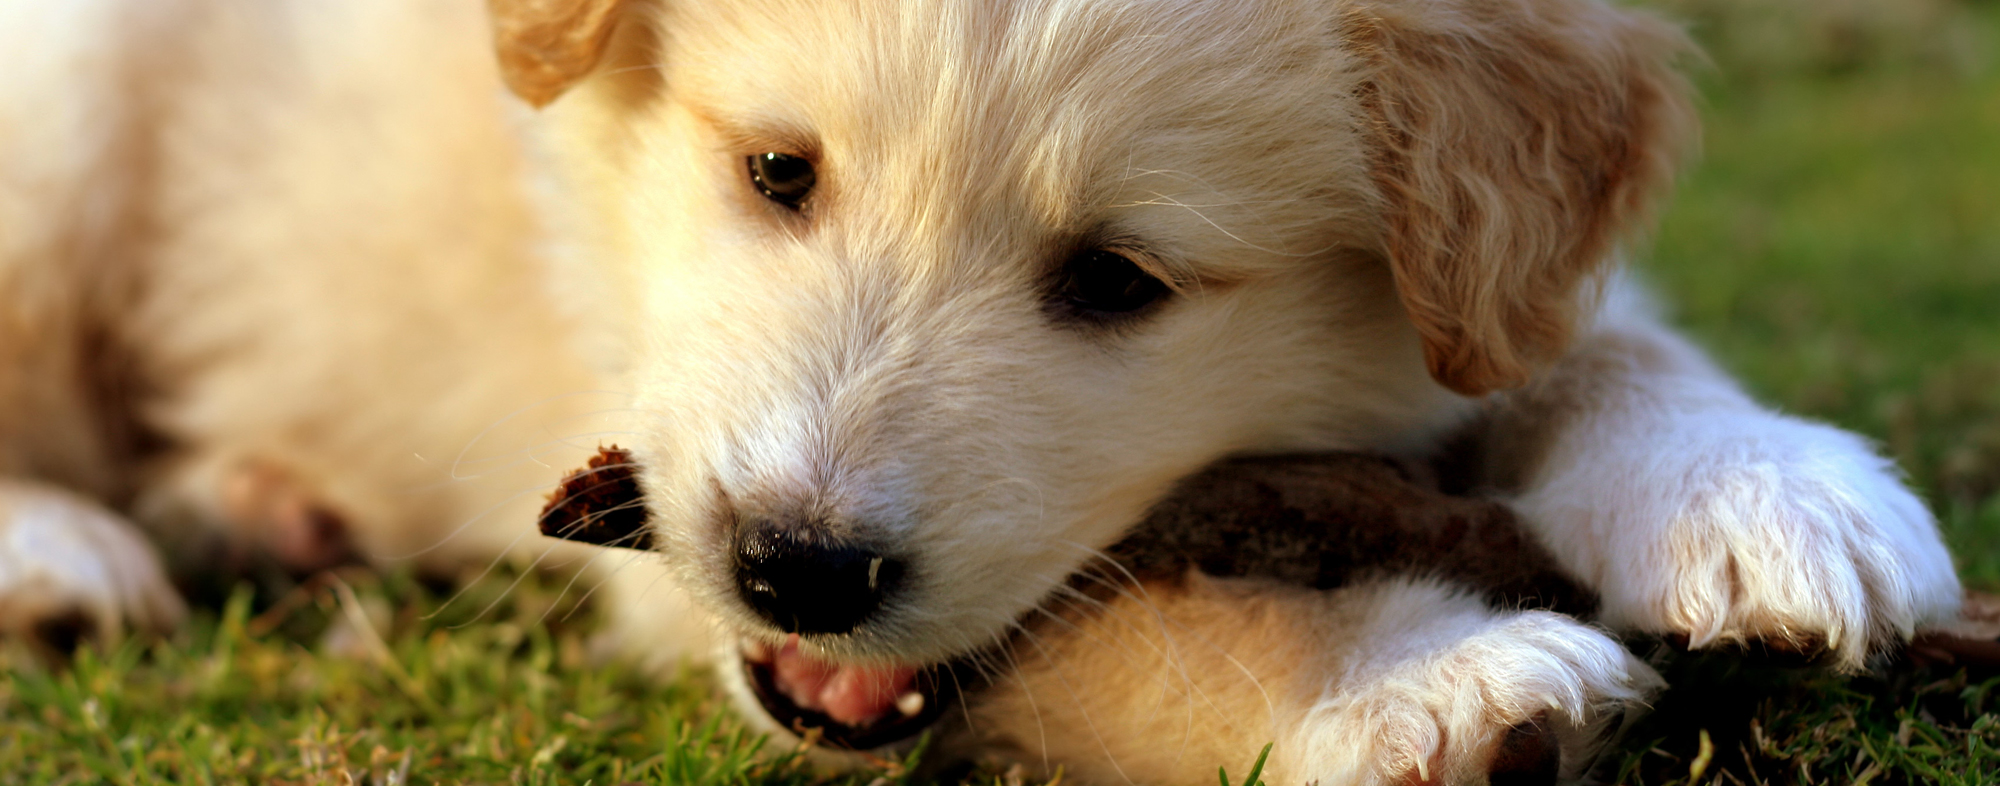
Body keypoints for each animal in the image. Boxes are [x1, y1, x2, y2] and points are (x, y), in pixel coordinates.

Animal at [0, 0, 1968, 780]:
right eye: (777, 172)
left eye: (1118, 282)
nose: (794, 566)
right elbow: (1138, 624)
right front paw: (1417, 681)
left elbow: (1609, 335)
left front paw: (1763, 487)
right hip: (70, 107)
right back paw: (59, 556)